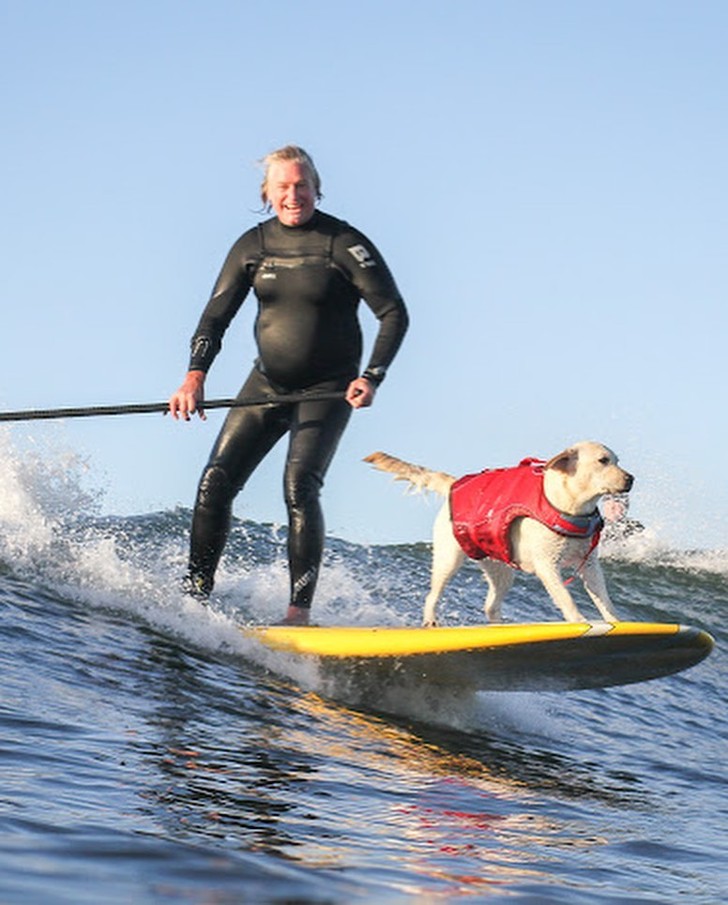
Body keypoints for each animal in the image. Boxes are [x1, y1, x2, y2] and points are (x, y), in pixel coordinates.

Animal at [366, 442, 636, 624]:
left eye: (617, 460)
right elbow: (565, 598)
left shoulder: (589, 565)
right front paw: (580, 622)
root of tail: (455, 484)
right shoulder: (547, 565)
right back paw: (430, 619)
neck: (572, 507)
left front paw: (616, 623)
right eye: (603, 460)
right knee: (433, 594)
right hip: (449, 557)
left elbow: (604, 600)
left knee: (491, 606)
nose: (631, 478)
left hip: (501, 569)